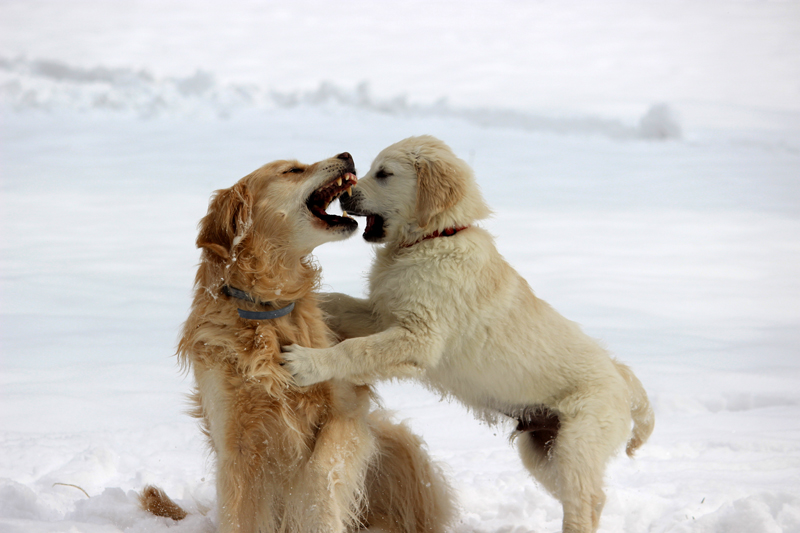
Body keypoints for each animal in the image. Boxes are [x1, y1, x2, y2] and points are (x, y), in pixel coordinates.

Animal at [284, 135, 652, 528]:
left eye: (384, 174)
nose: (345, 197)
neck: (435, 237)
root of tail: (622, 376)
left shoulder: (419, 336)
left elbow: (356, 350)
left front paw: (307, 364)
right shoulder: (384, 316)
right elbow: (341, 304)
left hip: (577, 443)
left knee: (586, 500)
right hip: (543, 450)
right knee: (591, 499)